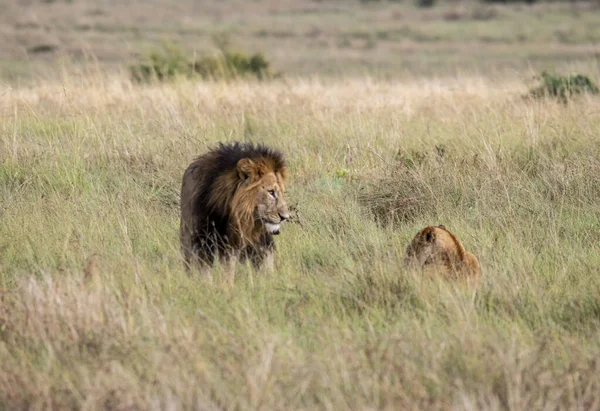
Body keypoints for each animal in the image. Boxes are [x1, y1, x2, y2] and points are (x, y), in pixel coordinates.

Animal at [179, 142, 290, 284]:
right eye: (271, 192)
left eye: (282, 192)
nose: (285, 217)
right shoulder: (204, 241)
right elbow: (206, 273)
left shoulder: (241, 246)